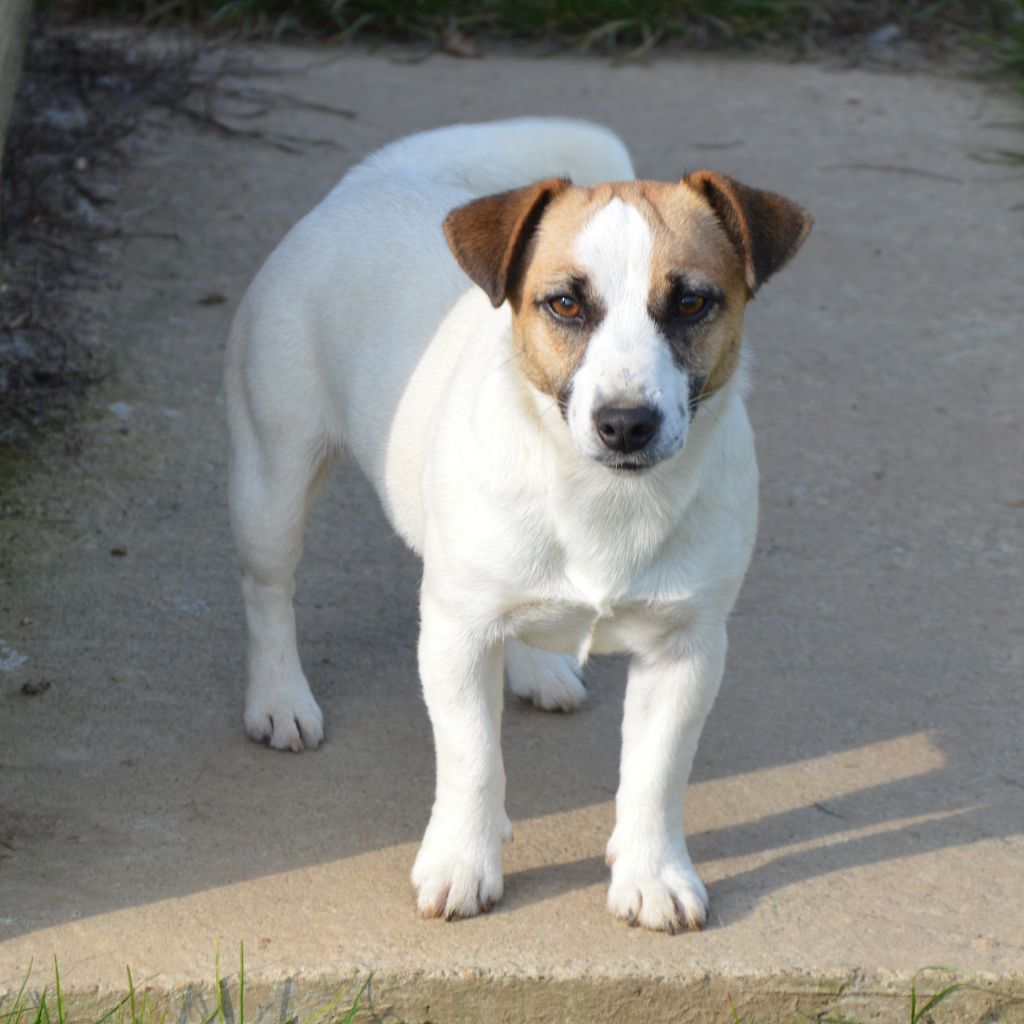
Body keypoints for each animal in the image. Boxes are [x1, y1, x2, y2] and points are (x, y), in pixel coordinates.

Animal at [224, 116, 806, 933]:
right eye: (563, 304)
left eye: (692, 304)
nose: (625, 423)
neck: (599, 500)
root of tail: (370, 182)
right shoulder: (456, 635)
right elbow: (472, 760)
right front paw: (464, 864)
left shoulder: (687, 648)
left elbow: (657, 774)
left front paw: (652, 874)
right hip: (273, 477)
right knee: (269, 591)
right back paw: (279, 698)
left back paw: (536, 667)